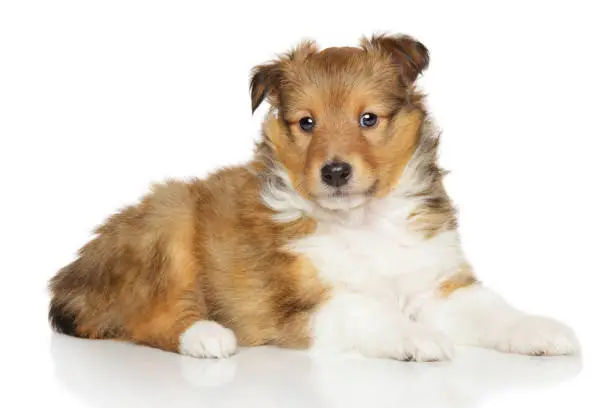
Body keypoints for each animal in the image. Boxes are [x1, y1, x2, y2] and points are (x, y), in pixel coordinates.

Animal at [47, 34, 580, 360]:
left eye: (368, 119)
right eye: (307, 123)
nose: (336, 171)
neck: (364, 222)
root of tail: (70, 276)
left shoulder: (436, 283)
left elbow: (492, 310)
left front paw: (541, 329)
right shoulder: (303, 306)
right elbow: (372, 309)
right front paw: (416, 337)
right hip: (168, 221)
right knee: (138, 316)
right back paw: (207, 335)